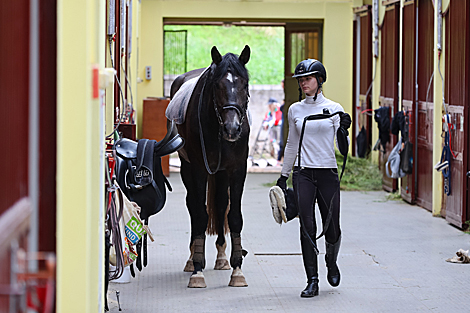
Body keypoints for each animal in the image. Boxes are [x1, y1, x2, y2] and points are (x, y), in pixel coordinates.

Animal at [169, 45, 250, 286]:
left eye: (244, 84)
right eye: (217, 85)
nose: (232, 128)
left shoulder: (237, 169)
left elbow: (234, 216)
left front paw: (237, 270)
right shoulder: (198, 168)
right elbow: (201, 214)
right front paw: (197, 269)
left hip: (221, 173)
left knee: (221, 203)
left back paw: (222, 258)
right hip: (187, 169)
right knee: (193, 206)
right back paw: (191, 259)